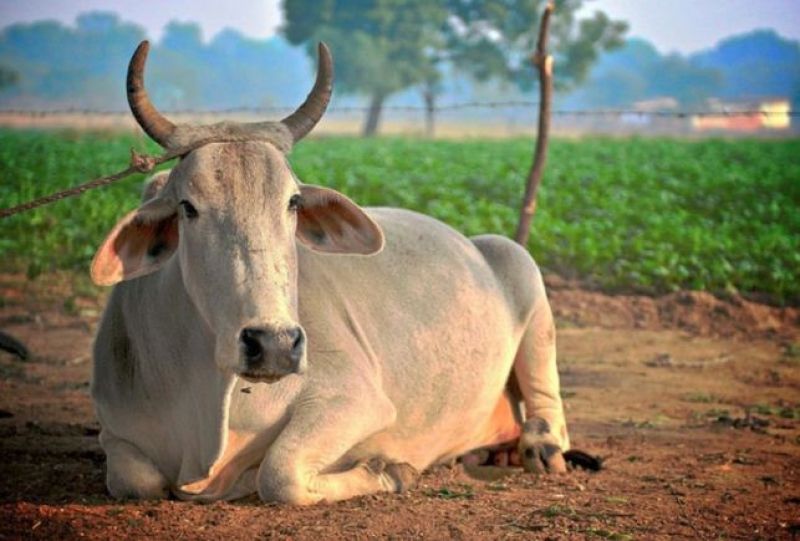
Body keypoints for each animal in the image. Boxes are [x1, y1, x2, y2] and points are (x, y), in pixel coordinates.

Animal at [89, 40, 570, 505]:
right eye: (188, 207)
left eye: (293, 202)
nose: (274, 345)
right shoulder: (117, 431)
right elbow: (135, 480)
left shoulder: (355, 399)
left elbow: (280, 474)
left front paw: (389, 471)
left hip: (521, 267)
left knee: (547, 401)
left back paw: (538, 446)